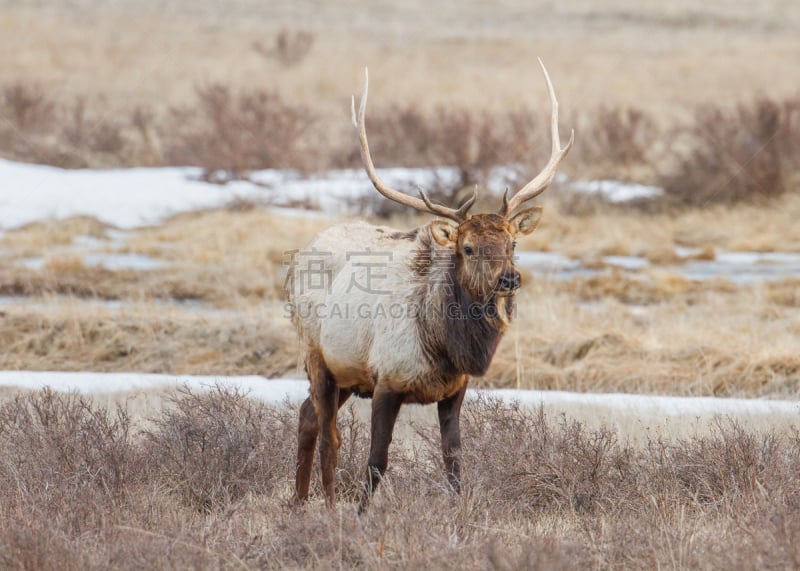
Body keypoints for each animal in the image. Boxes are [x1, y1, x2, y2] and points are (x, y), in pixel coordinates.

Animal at [284, 59, 572, 512]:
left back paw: (298, 502)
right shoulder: (386, 381)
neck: (446, 346)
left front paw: (459, 512)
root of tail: (299, 257)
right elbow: (376, 461)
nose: (510, 278)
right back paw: (327, 507)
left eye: (512, 243)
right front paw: (361, 515)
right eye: (467, 247)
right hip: (319, 356)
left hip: (344, 374)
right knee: (329, 434)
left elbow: (454, 462)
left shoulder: (454, 390)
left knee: (306, 416)